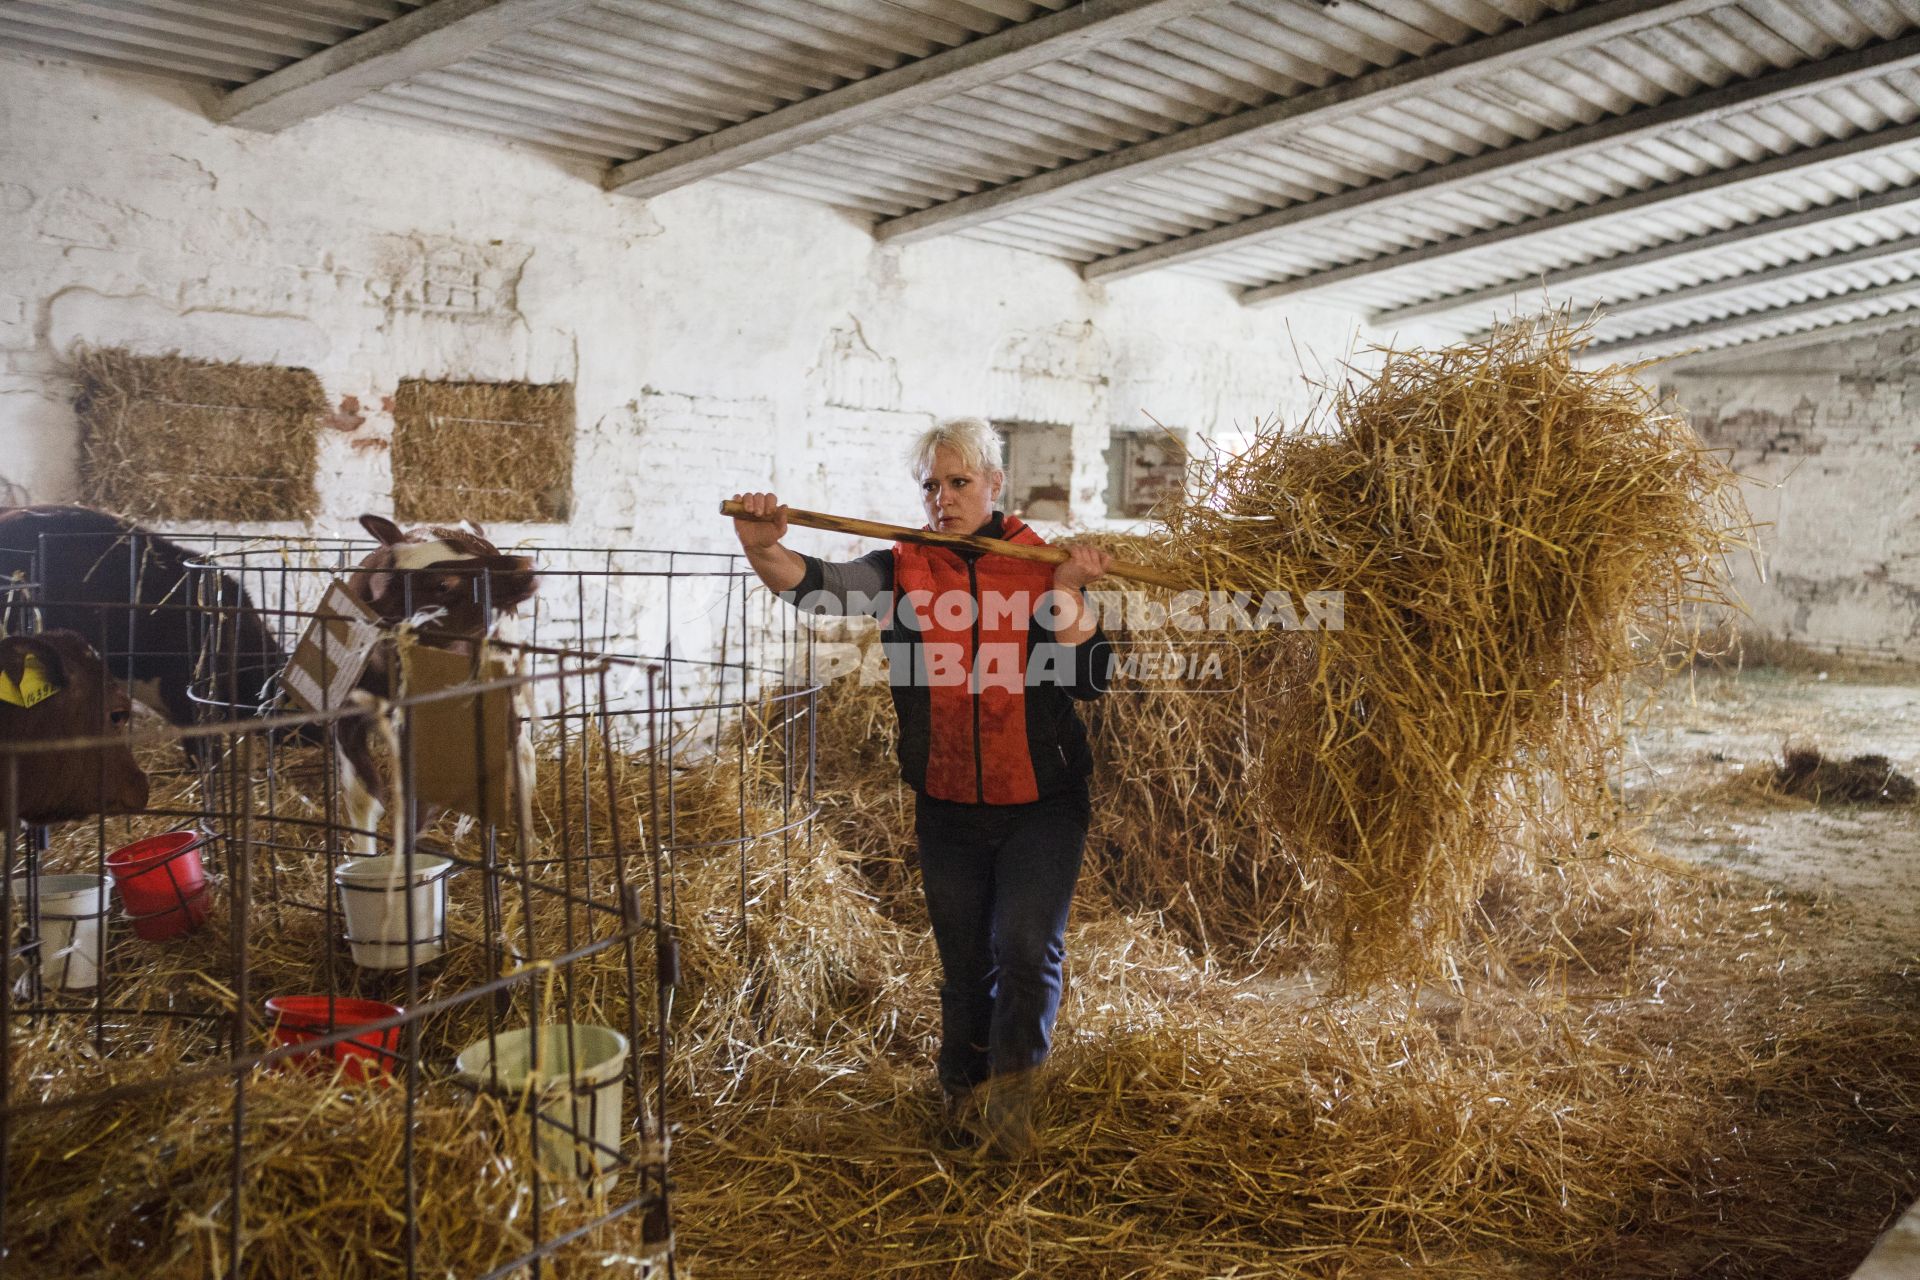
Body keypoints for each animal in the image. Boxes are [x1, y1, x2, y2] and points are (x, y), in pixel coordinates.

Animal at [337, 514, 541, 855]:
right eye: (443, 584)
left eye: (479, 550)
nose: (525, 565)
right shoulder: (346, 716)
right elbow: (363, 799)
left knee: (521, 755)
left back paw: (528, 844)